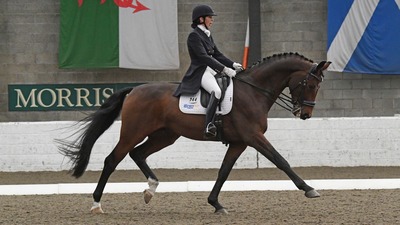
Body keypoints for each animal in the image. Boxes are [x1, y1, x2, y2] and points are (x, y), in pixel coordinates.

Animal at [57, 52, 332, 214]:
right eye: (310, 84)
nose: (305, 114)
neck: (254, 91)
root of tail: (134, 89)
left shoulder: (239, 142)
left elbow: (224, 171)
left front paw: (216, 204)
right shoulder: (253, 137)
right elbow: (280, 160)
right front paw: (309, 189)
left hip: (166, 135)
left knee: (138, 154)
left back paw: (150, 189)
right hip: (133, 132)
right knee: (112, 159)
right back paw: (96, 204)